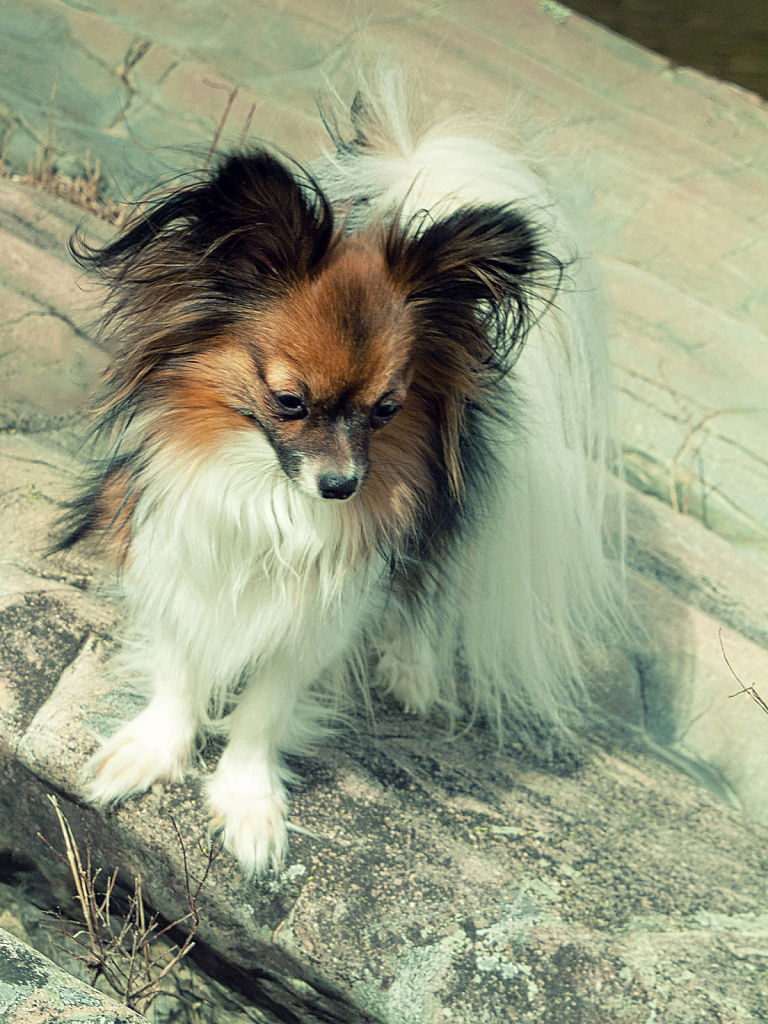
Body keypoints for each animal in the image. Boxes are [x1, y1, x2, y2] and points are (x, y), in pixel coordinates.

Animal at [57, 74, 626, 872]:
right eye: (289, 402)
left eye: (387, 411)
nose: (342, 486)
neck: (269, 491)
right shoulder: (181, 553)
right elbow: (179, 665)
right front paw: (151, 752)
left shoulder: (326, 609)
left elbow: (265, 707)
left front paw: (249, 803)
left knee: (429, 588)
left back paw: (415, 672)